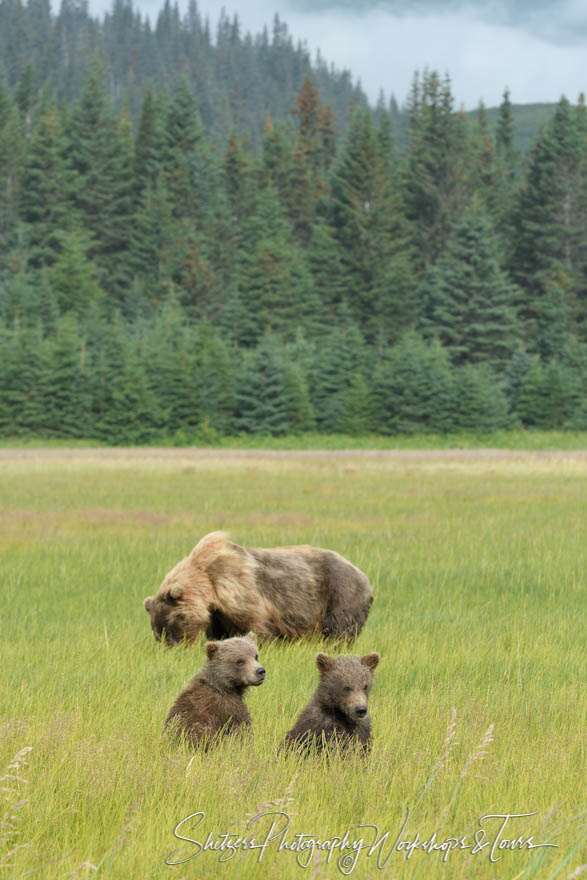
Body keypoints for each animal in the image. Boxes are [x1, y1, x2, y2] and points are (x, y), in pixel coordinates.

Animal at [144, 528, 372, 648]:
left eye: (171, 624)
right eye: (157, 630)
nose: (171, 647)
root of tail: (364, 576)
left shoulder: (241, 591)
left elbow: (255, 626)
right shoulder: (217, 613)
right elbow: (220, 632)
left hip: (339, 594)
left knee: (339, 631)